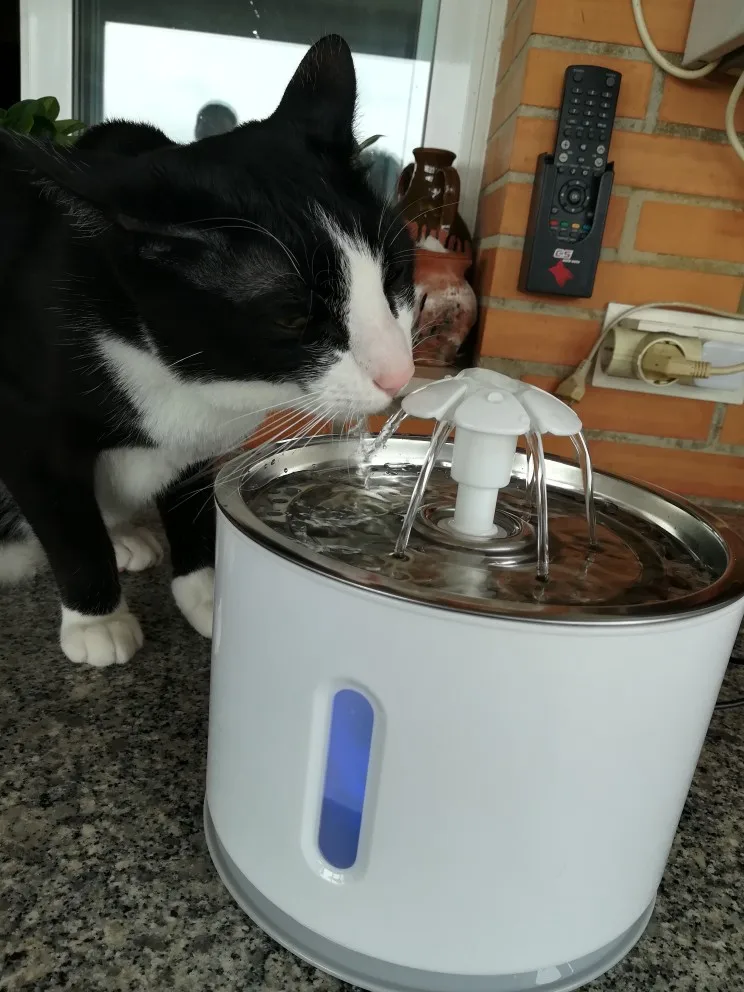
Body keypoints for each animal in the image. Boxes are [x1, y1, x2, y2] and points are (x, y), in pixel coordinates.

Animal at [0, 34, 416, 667]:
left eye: (394, 277)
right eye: (294, 318)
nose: (399, 373)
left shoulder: (203, 438)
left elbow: (194, 502)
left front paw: (207, 593)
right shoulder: (27, 428)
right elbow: (69, 526)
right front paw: (98, 618)